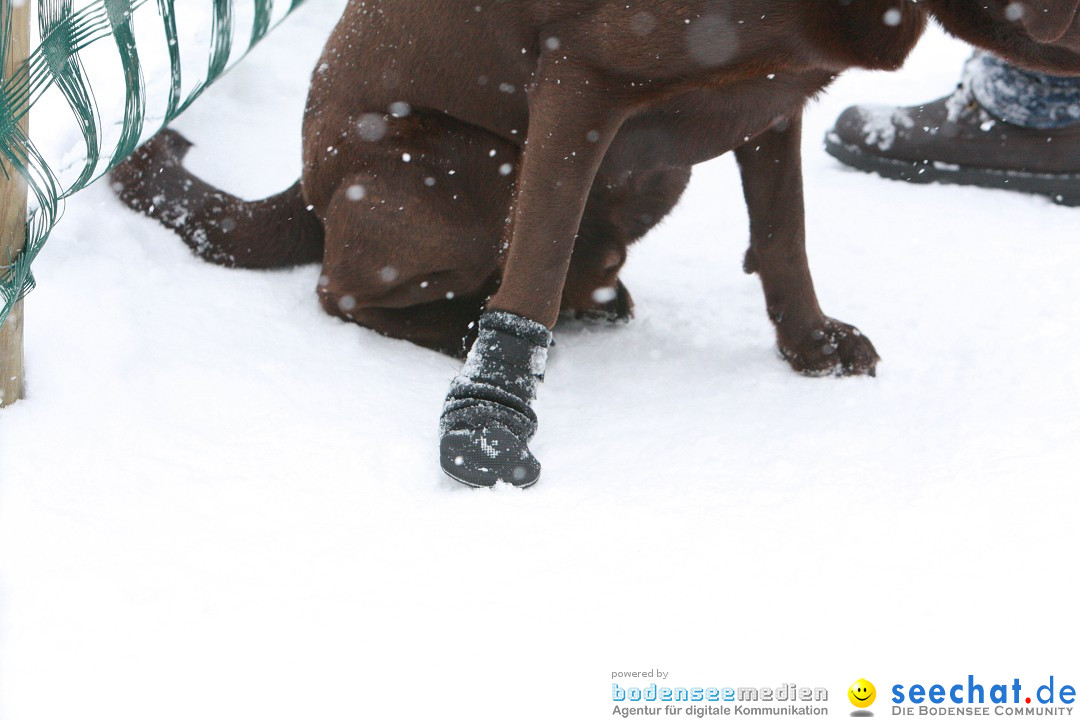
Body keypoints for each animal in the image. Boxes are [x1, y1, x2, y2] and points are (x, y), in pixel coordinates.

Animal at [109, 0, 1080, 483]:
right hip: (470, 169)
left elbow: (784, 233)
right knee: (344, 289)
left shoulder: (772, 98)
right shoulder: (582, 82)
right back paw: (459, 331)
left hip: (653, 172)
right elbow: (532, 272)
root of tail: (305, 191)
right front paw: (488, 428)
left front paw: (811, 344)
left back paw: (601, 302)